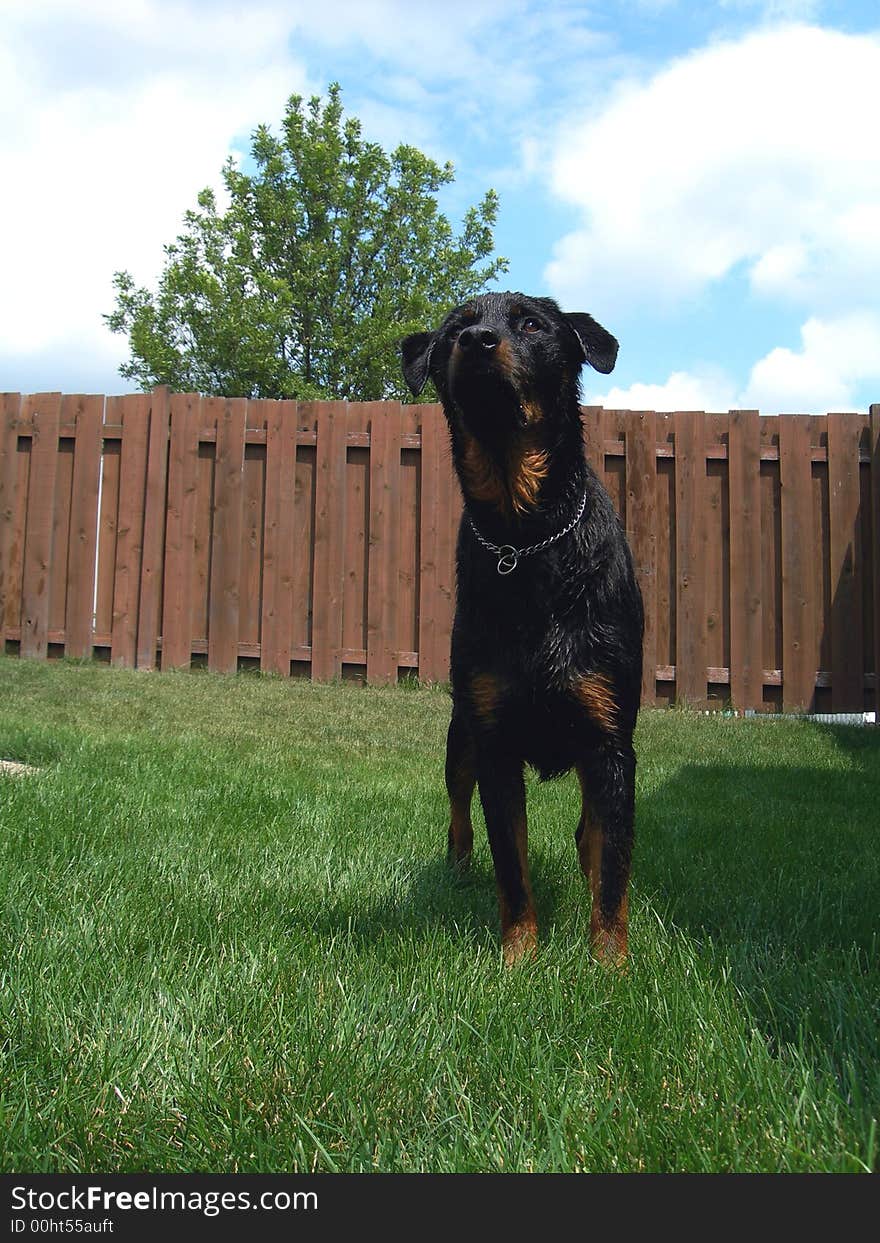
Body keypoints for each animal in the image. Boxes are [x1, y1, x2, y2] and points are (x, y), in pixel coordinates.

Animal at [402, 293, 641, 969]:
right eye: (453, 331)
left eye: (532, 324)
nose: (477, 340)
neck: (526, 532)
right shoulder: (495, 742)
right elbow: (511, 863)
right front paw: (518, 957)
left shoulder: (610, 741)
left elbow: (613, 867)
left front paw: (608, 964)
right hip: (461, 734)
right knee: (458, 809)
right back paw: (457, 869)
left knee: (593, 833)